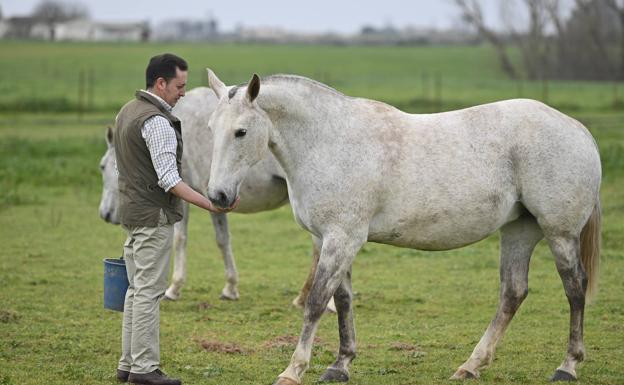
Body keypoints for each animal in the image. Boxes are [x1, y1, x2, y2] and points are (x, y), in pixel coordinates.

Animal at [97, 87, 334, 308]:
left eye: (103, 167)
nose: (104, 213)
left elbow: (181, 239)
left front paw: (174, 288)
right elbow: (223, 239)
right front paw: (230, 287)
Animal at [207, 70, 604, 382]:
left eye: (241, 132)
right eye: (211, 128)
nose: (218, 195)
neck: (330, 142)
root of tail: (578, 130)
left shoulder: (341, 239)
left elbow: (317, 302)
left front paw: (293, 370)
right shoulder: (334, 239)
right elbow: (343, 300)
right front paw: (340, 365)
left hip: (559, 233)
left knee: (574, 288)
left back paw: (567, 366)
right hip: (520, 230)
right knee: (513, 293)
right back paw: (470, 366)